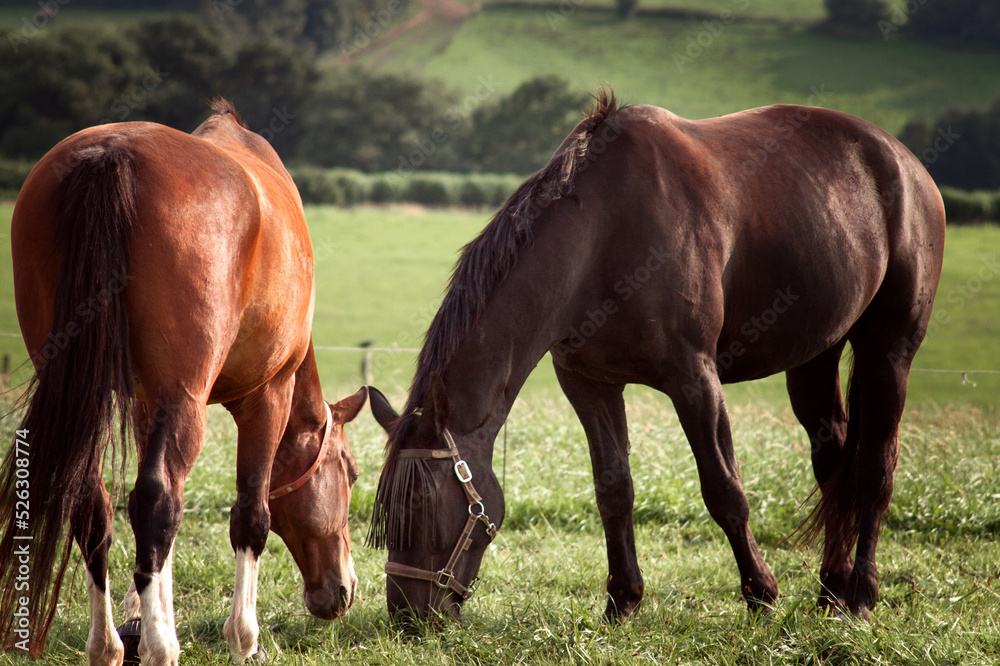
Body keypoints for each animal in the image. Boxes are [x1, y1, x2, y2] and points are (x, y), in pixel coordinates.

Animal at [0, 99, 367, 665]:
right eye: (349, 473)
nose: (343, 591)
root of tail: (111, 155)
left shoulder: (149, 403)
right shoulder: (268, 395)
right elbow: (250, 516)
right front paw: (243, 639)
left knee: (96, 501)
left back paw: (109, 644)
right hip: (186, 397)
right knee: (154, 502)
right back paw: (160, 646)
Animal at [366, 90, 946, 622]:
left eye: (419, 508)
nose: (405, 616)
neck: (603, 237)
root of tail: (902, 161)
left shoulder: (694, 379)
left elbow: (724, 489)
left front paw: (761, 593)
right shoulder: (588, 383)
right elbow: (614, 490)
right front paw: (622, 601)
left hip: (888, 350)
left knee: (873, 468)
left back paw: (861, 596)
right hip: (814, 356)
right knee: (832, 462)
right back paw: (830, 592)